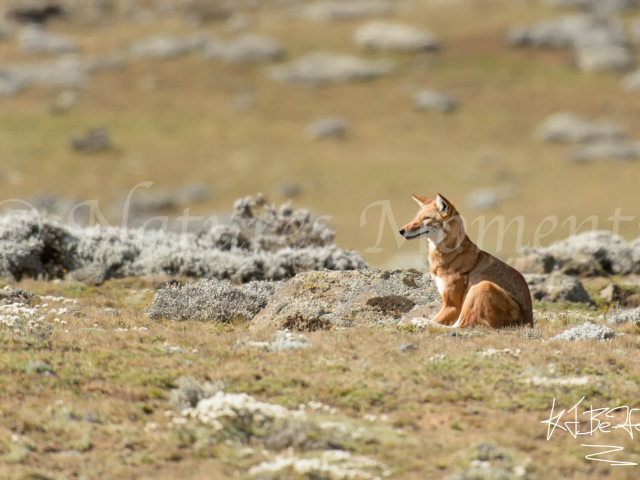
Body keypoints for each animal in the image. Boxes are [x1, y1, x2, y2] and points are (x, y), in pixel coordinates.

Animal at [399, 194, 533, 328]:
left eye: (426, 218)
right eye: (417, 217)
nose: (401, 230)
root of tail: (529, 323)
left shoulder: (452, 306)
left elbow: (438, 320)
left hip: (481, 286)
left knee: (460, 327)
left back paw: (421, 322)